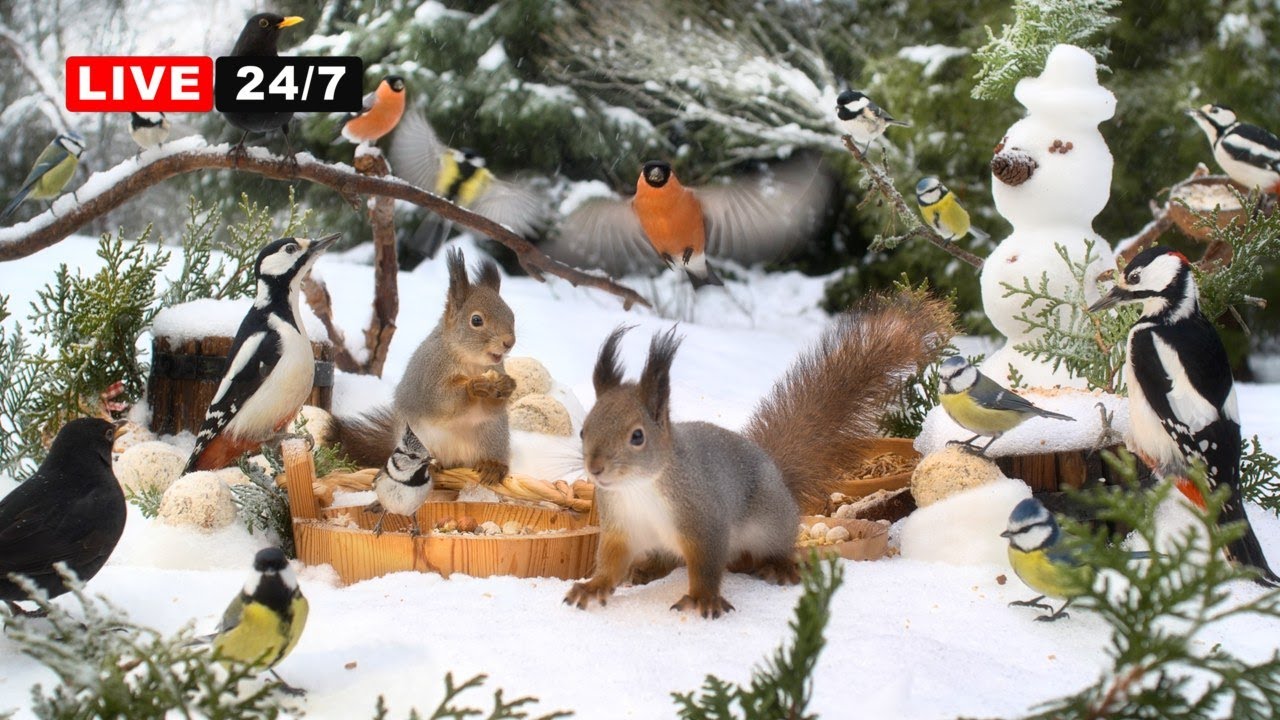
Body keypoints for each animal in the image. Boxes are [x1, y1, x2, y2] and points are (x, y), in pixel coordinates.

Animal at [336, 248, 517, 485]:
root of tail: (455, 461)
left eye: (511, 315)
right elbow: (440, 399)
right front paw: (473, 387)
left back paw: (493, 466)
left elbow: (492, 408)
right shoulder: (428, 375)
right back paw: (432, 465)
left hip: (493, 434)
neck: (471, 362)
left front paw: (508, 385)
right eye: (476, 320)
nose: (509, 342)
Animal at [565, 292, 954, 618]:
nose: (595, 468)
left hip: (769, 522)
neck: (640, 487)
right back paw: (646, 571)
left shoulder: (704, 520)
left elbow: (706, 565)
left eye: (637, 436)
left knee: (768, 549)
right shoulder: (620, 528)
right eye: (583, 430)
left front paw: (703, 598)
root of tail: (778, 476)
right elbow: (610, 563)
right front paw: (594, 587)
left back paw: (778, 566)